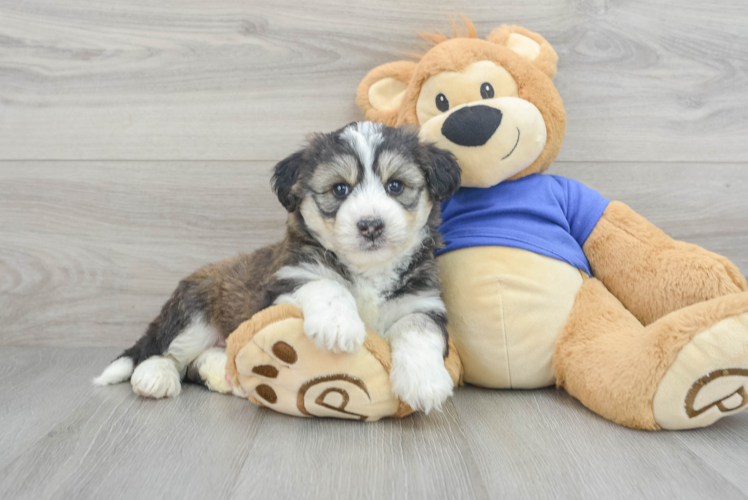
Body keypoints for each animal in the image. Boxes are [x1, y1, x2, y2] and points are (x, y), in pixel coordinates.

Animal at [95, 122, 462, 414]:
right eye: (340, 189)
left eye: (395, 186)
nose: (371, 225)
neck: (367, 270)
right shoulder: (283, 286)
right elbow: (326, 284)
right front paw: (339, 325)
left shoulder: (422, 302)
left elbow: (418, 332)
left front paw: (424, 382)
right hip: (195, 310)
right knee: (167, 352)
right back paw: (155, 376)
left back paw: (228, 375)